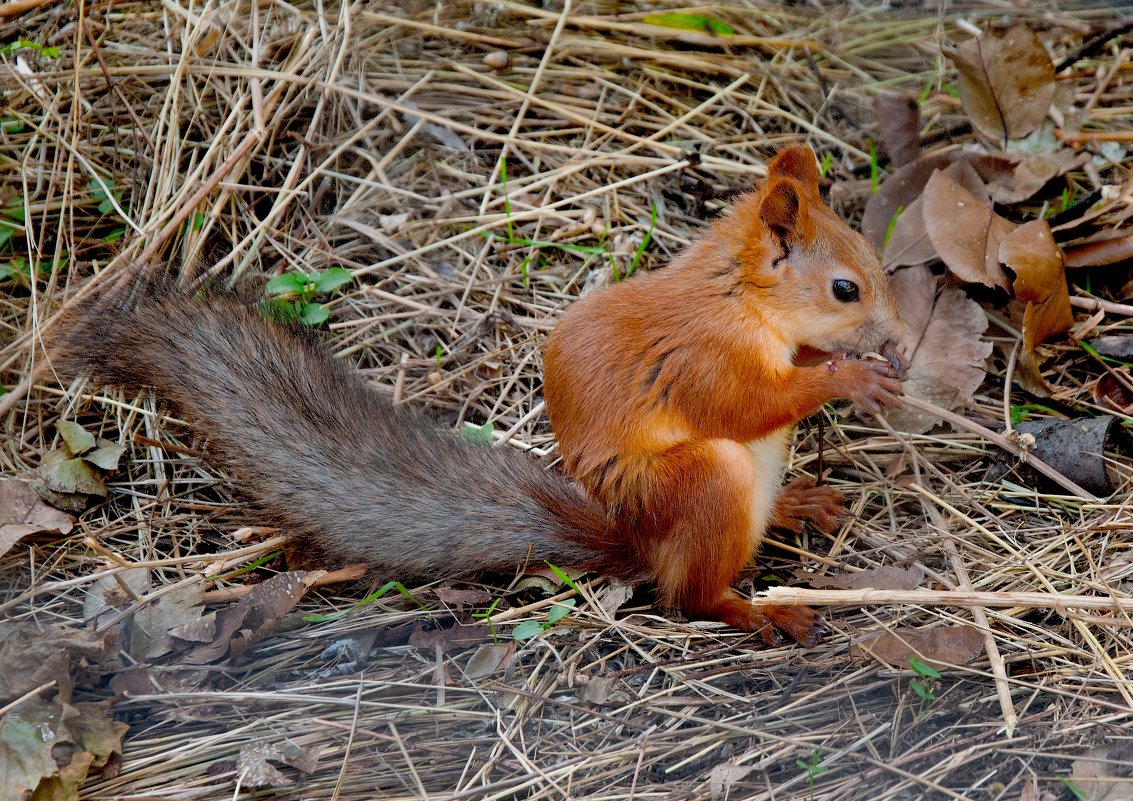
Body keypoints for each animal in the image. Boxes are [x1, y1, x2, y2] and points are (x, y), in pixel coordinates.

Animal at [48, 147, 906, 652]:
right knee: (686, 594)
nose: (898, 334)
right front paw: (848, 375)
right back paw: (757, 610)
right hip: (704, 485)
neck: (743, 300)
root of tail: (633, 537)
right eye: (845, 287)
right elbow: (745, 404)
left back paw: (794, 505)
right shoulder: (701, 359)